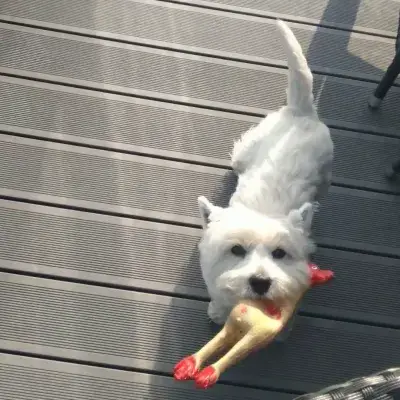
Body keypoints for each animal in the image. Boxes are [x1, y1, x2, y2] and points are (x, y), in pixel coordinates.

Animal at [198, 19, 334, 324]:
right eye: (237, 249)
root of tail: (302, 112)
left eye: (280, 253)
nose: (260, 282)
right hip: (249, 149)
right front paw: (218, 311)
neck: (264, 209)